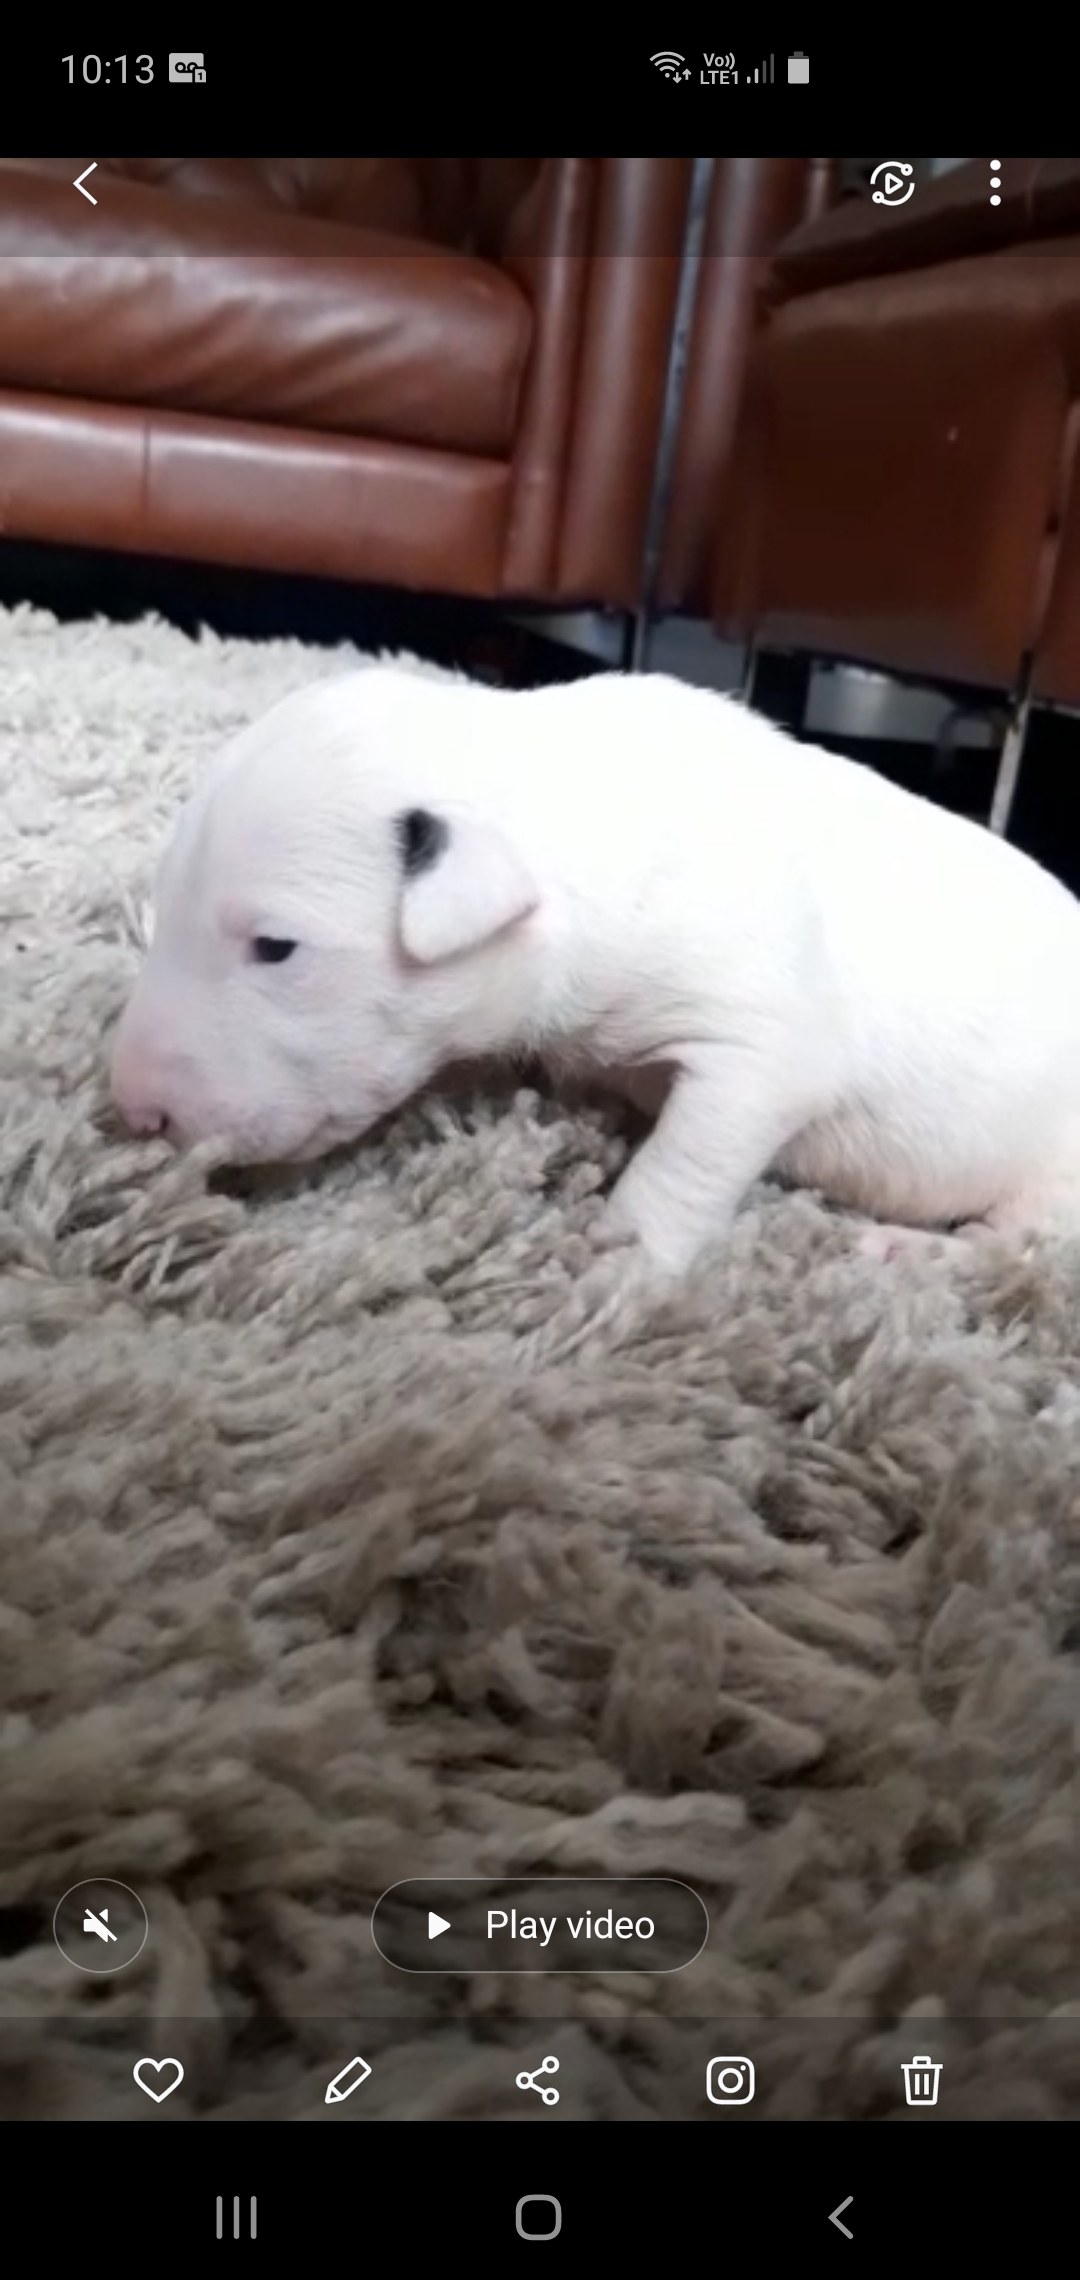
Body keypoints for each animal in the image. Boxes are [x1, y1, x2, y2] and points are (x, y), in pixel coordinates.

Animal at [110, 665, 1080, 1279]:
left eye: (276, 947)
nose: (134, 1113)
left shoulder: (759, 1044)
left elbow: (688, 1157)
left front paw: (617, 1267)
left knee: (1024, 1253)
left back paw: (915, 1250)